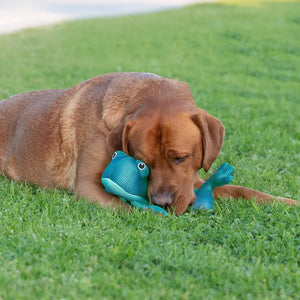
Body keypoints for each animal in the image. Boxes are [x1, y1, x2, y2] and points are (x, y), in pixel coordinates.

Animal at [0, 72, 296, 213]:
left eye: (180, 158)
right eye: (141, 164)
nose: (163, 202)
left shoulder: (194, 180)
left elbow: (243, 190)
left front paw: (285, 201)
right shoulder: (88, 187)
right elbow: (135, 209)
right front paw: (154, 212)